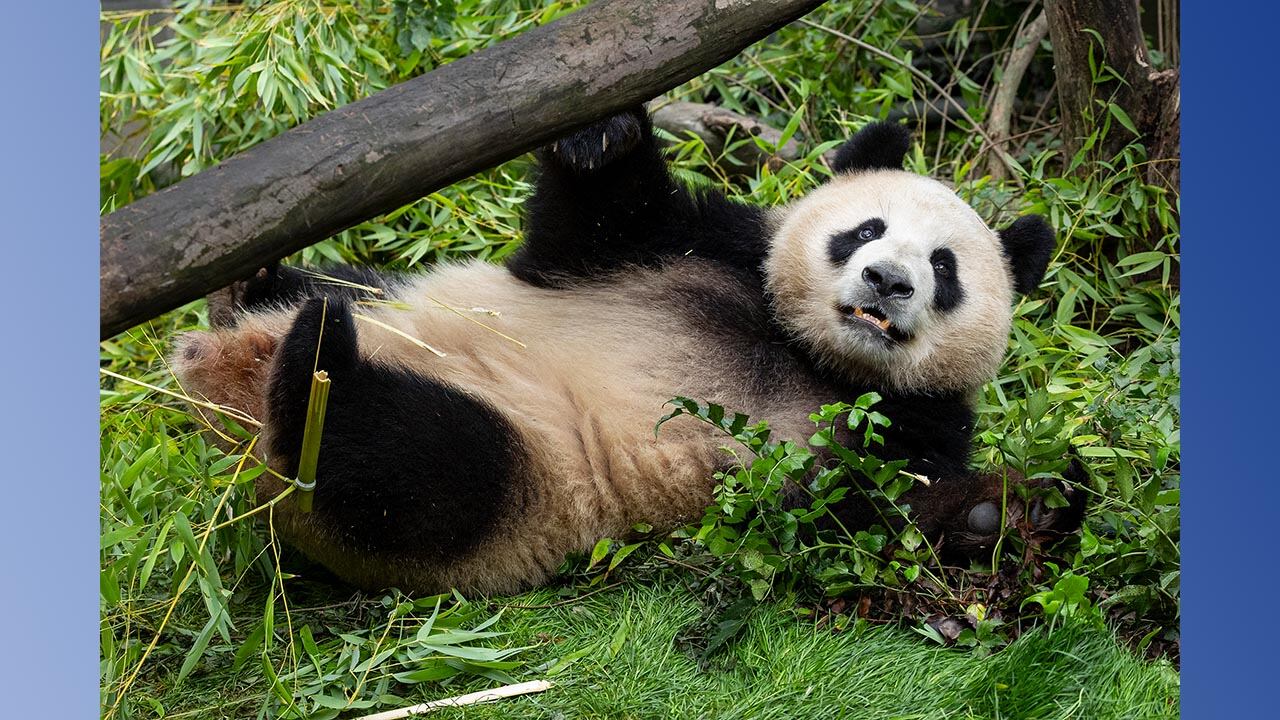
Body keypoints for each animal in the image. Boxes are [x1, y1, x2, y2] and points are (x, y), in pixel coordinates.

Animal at [172, 108, 1082, 595]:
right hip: (391, 300)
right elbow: (591, 227)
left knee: (410, 465)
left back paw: (314, 372)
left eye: (945, 268)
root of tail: (224, 389)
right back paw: (254, 291)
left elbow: (849, 515)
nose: (889, 281)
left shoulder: (904, 424)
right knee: (341, 300)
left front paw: (1005, 511)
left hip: (524, 484)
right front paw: (603, 135)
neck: (808, 352)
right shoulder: (700, 248)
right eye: (865, 230)